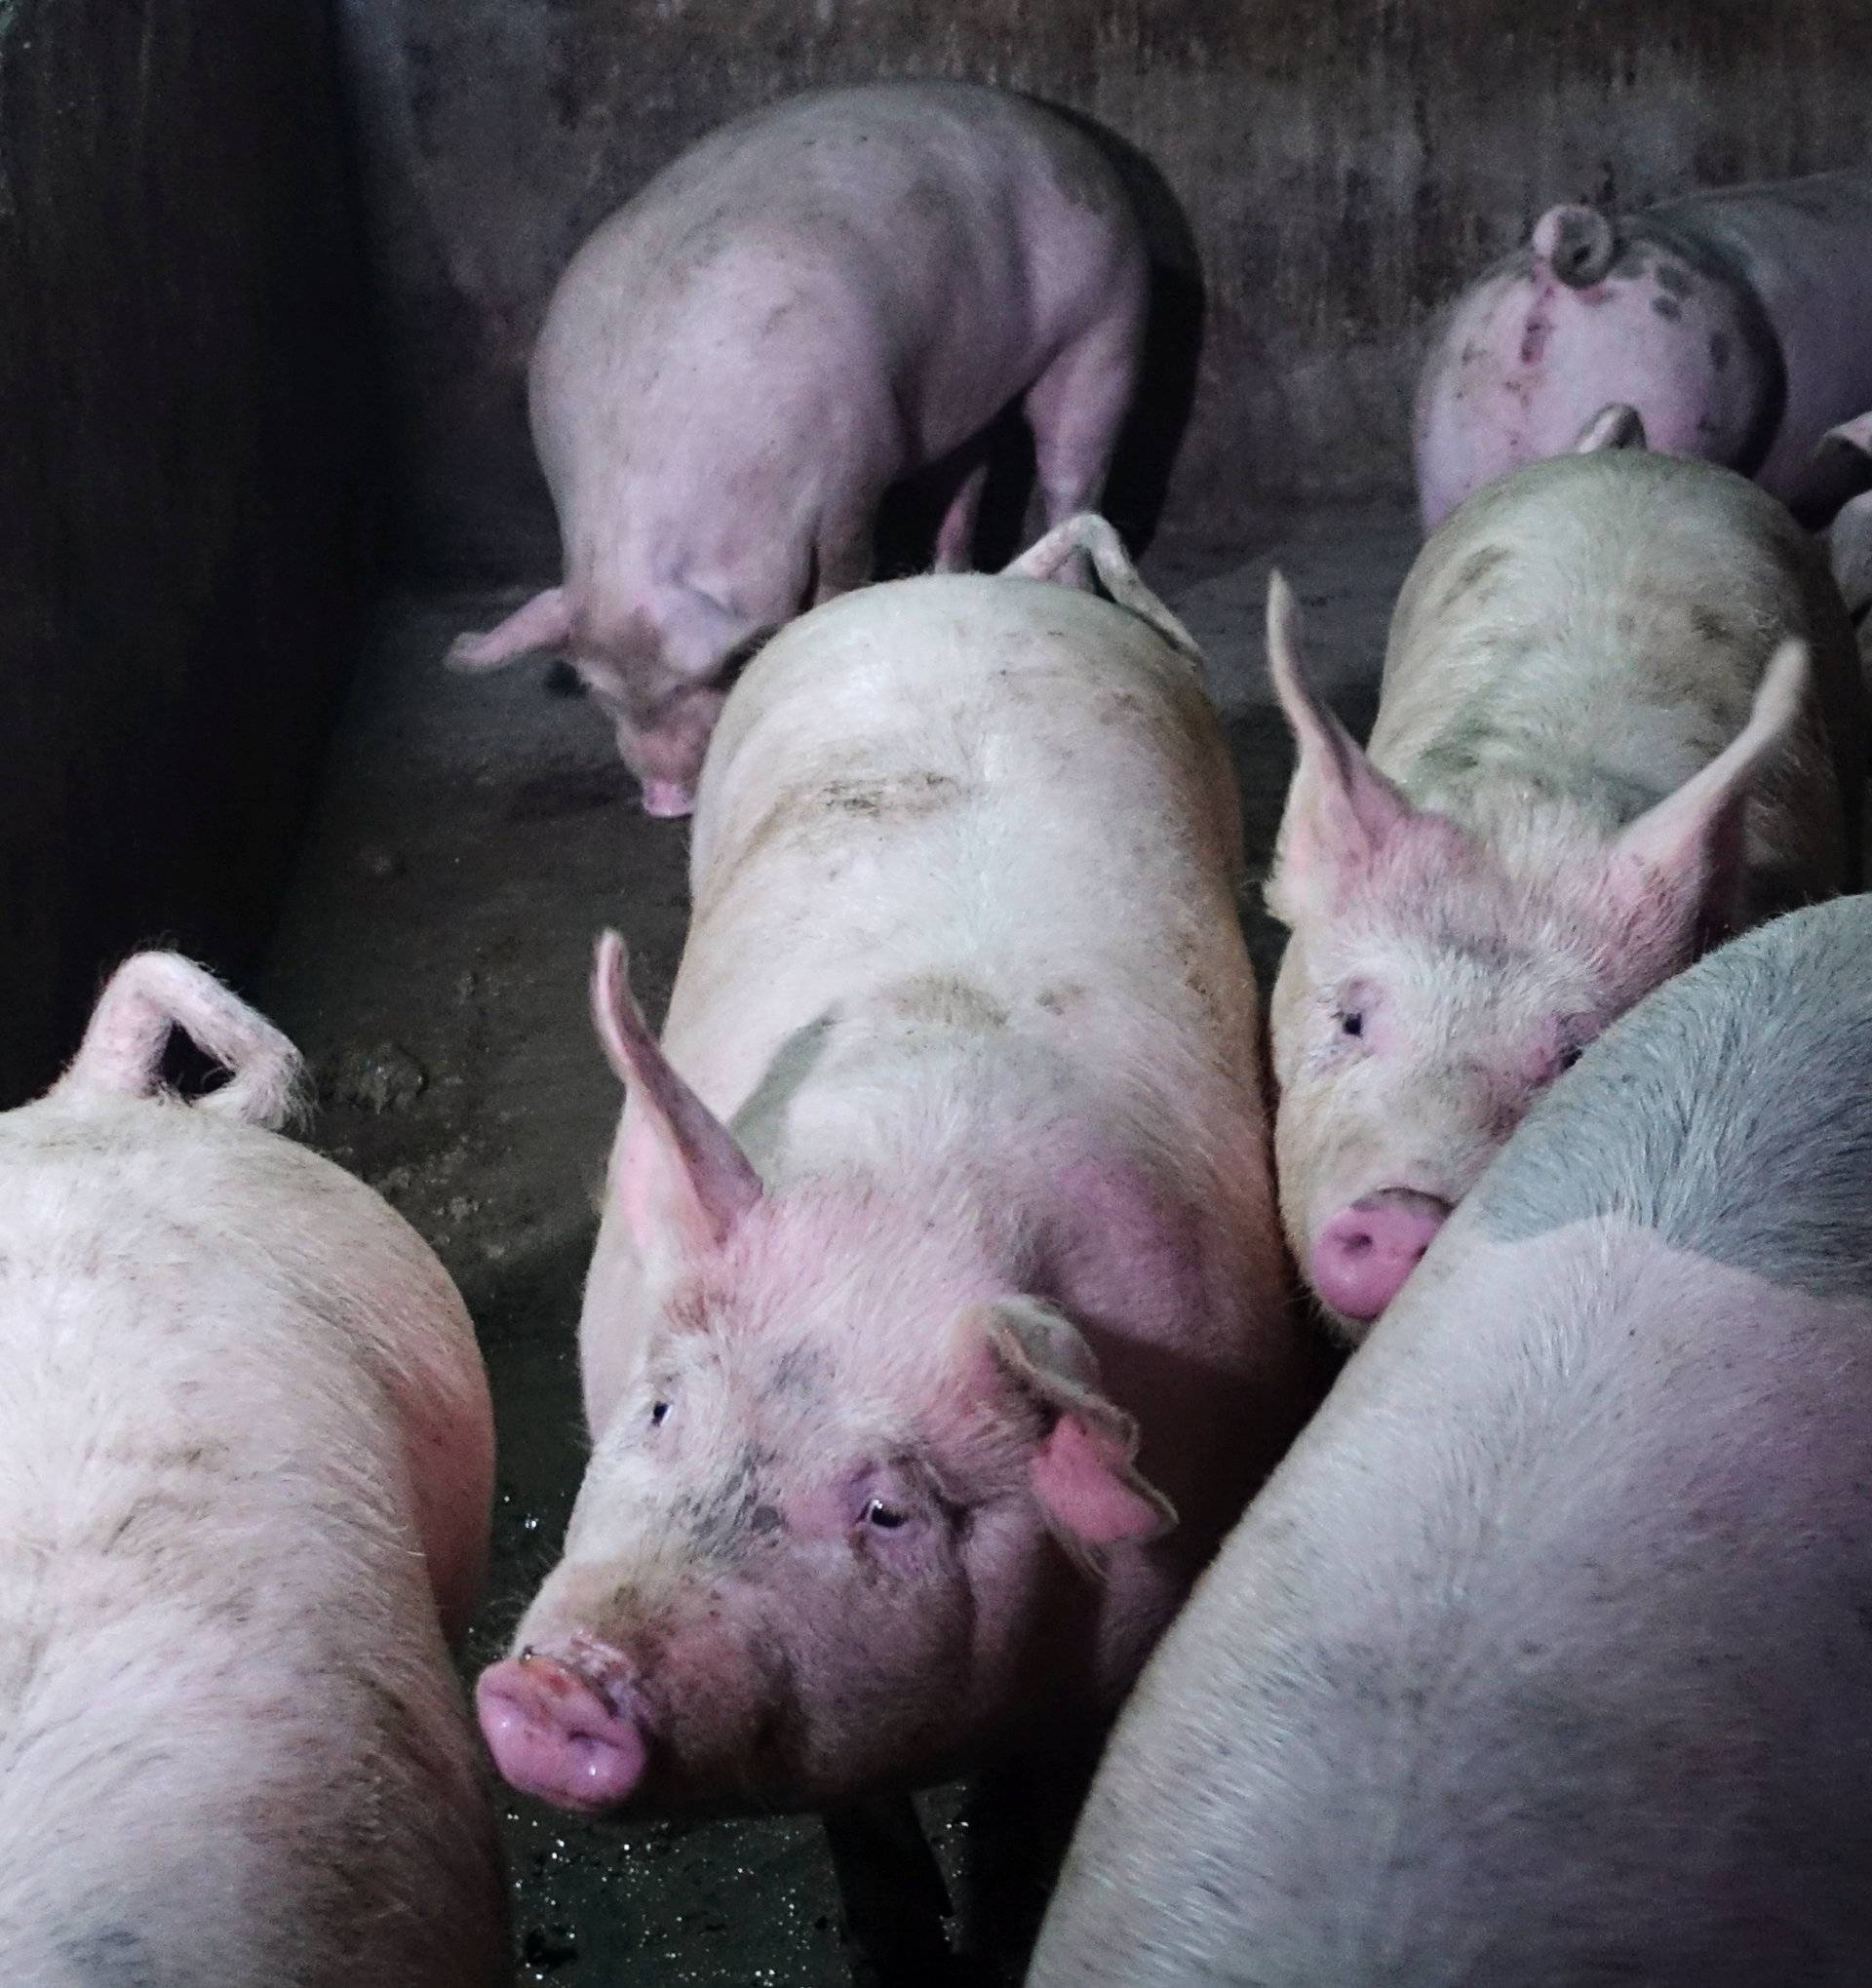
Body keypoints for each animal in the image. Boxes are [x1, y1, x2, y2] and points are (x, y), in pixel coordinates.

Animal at [447, 81, 1152, 819]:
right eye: (597, 692)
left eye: (720, 671)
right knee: (969, 470)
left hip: (1109, 321)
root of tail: (1065, 134)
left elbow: (843, 566)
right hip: (962, 387)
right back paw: (944, 573)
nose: (666, 802)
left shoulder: (856, 464)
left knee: (1072, 469)